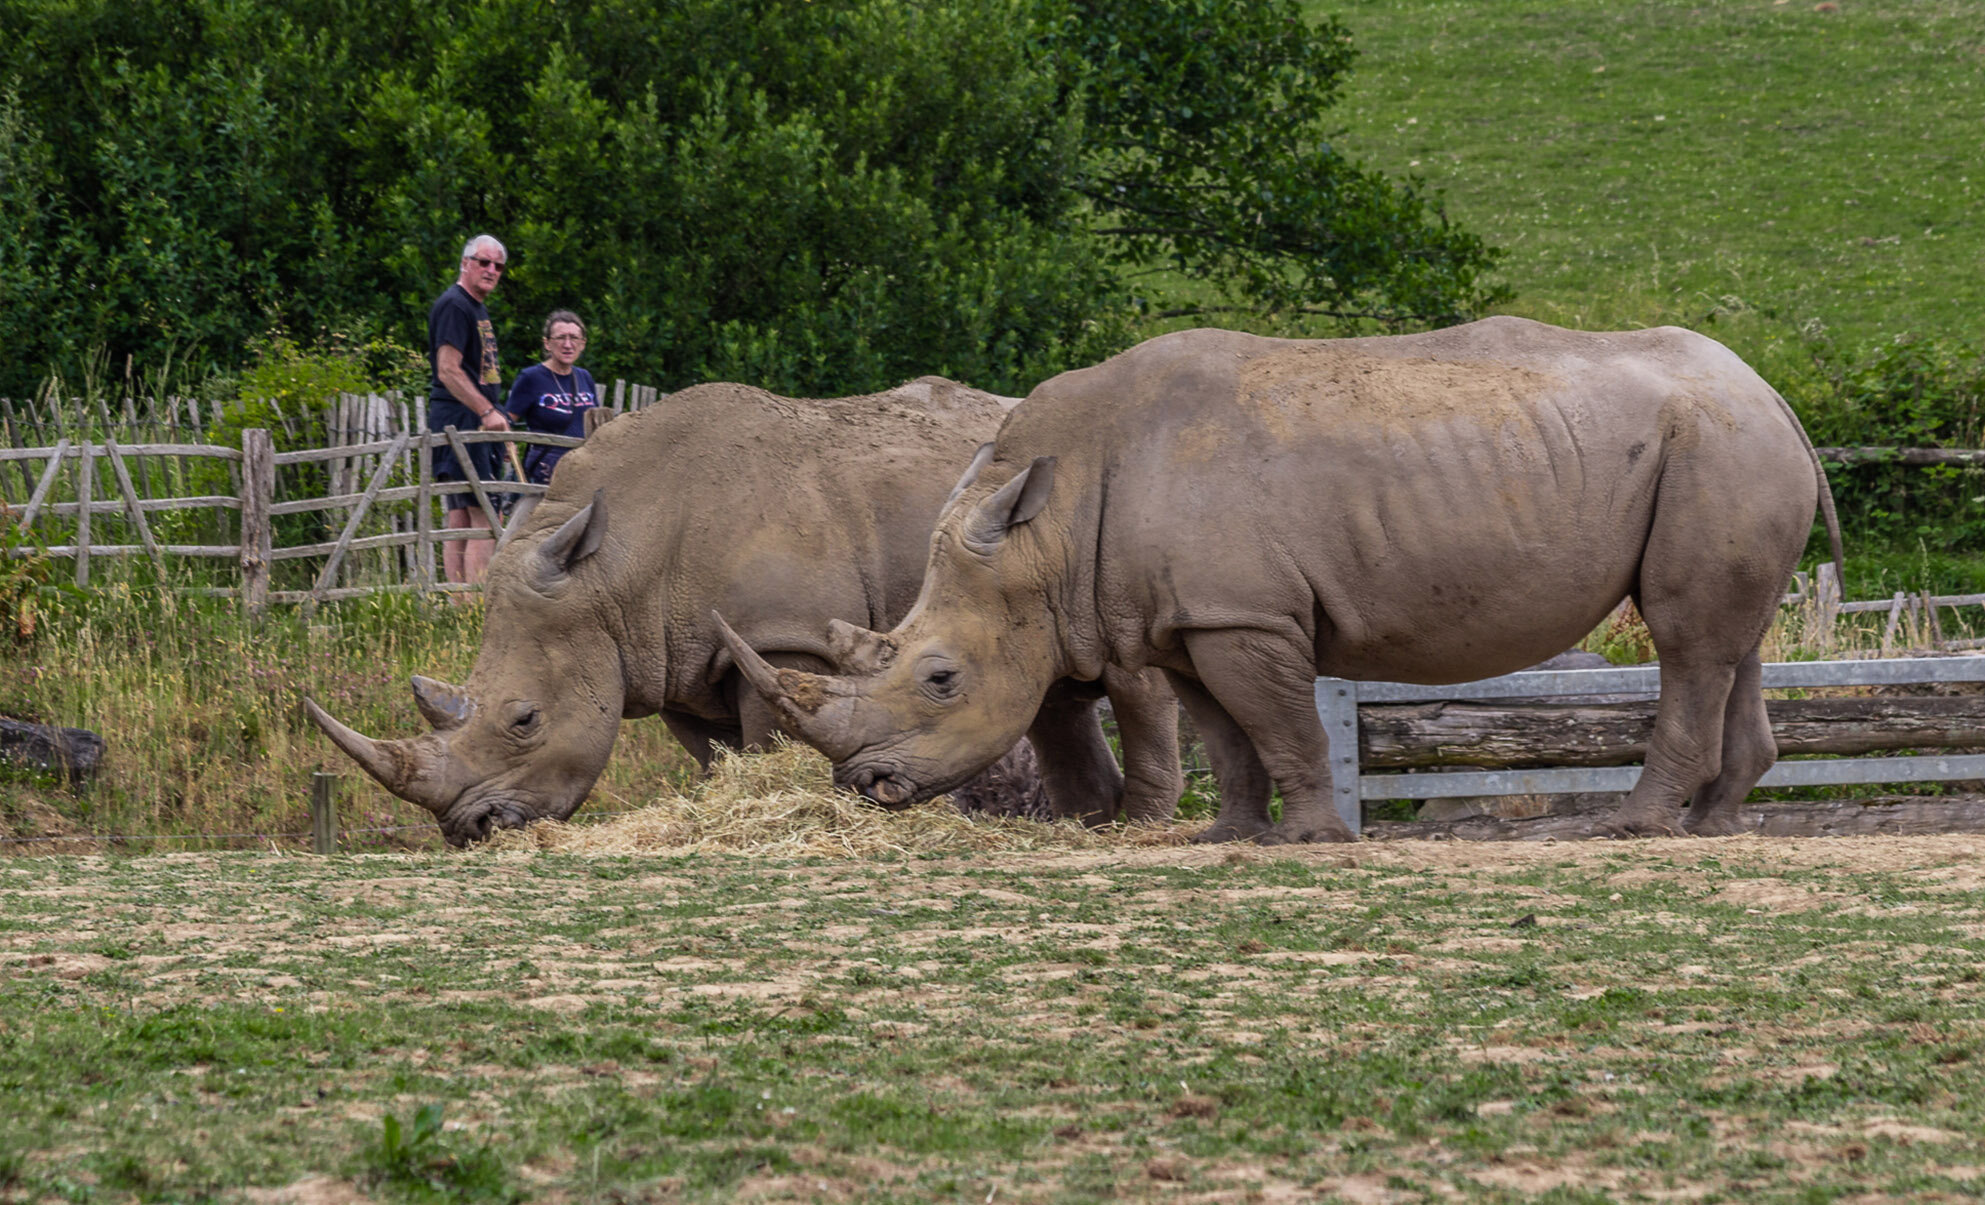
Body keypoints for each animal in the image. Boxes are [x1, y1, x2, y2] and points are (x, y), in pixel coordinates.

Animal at [301, 379, 1183, 849]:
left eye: (523, 721)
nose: (471, 830)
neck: (613, 565)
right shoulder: (672, 656)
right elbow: (719, 758)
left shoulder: (784, 639)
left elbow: (769, 739)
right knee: (1051, 692)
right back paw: (1086, 827)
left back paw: (1132, 828)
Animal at [726, 321, 1842, 849]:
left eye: (941, 678)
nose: (864, 787)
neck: (1047, 527)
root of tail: (1772, 394)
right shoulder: (1184, 620)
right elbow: (1223, 731)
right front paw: (1226, 834)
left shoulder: (1243, 614)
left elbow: (1277, 720)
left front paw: (1308, 838)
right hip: (1721, 447)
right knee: (1728, 638)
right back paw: (1710, 825)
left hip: (1718, 445)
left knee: (1685, 638)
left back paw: (1634, 827)